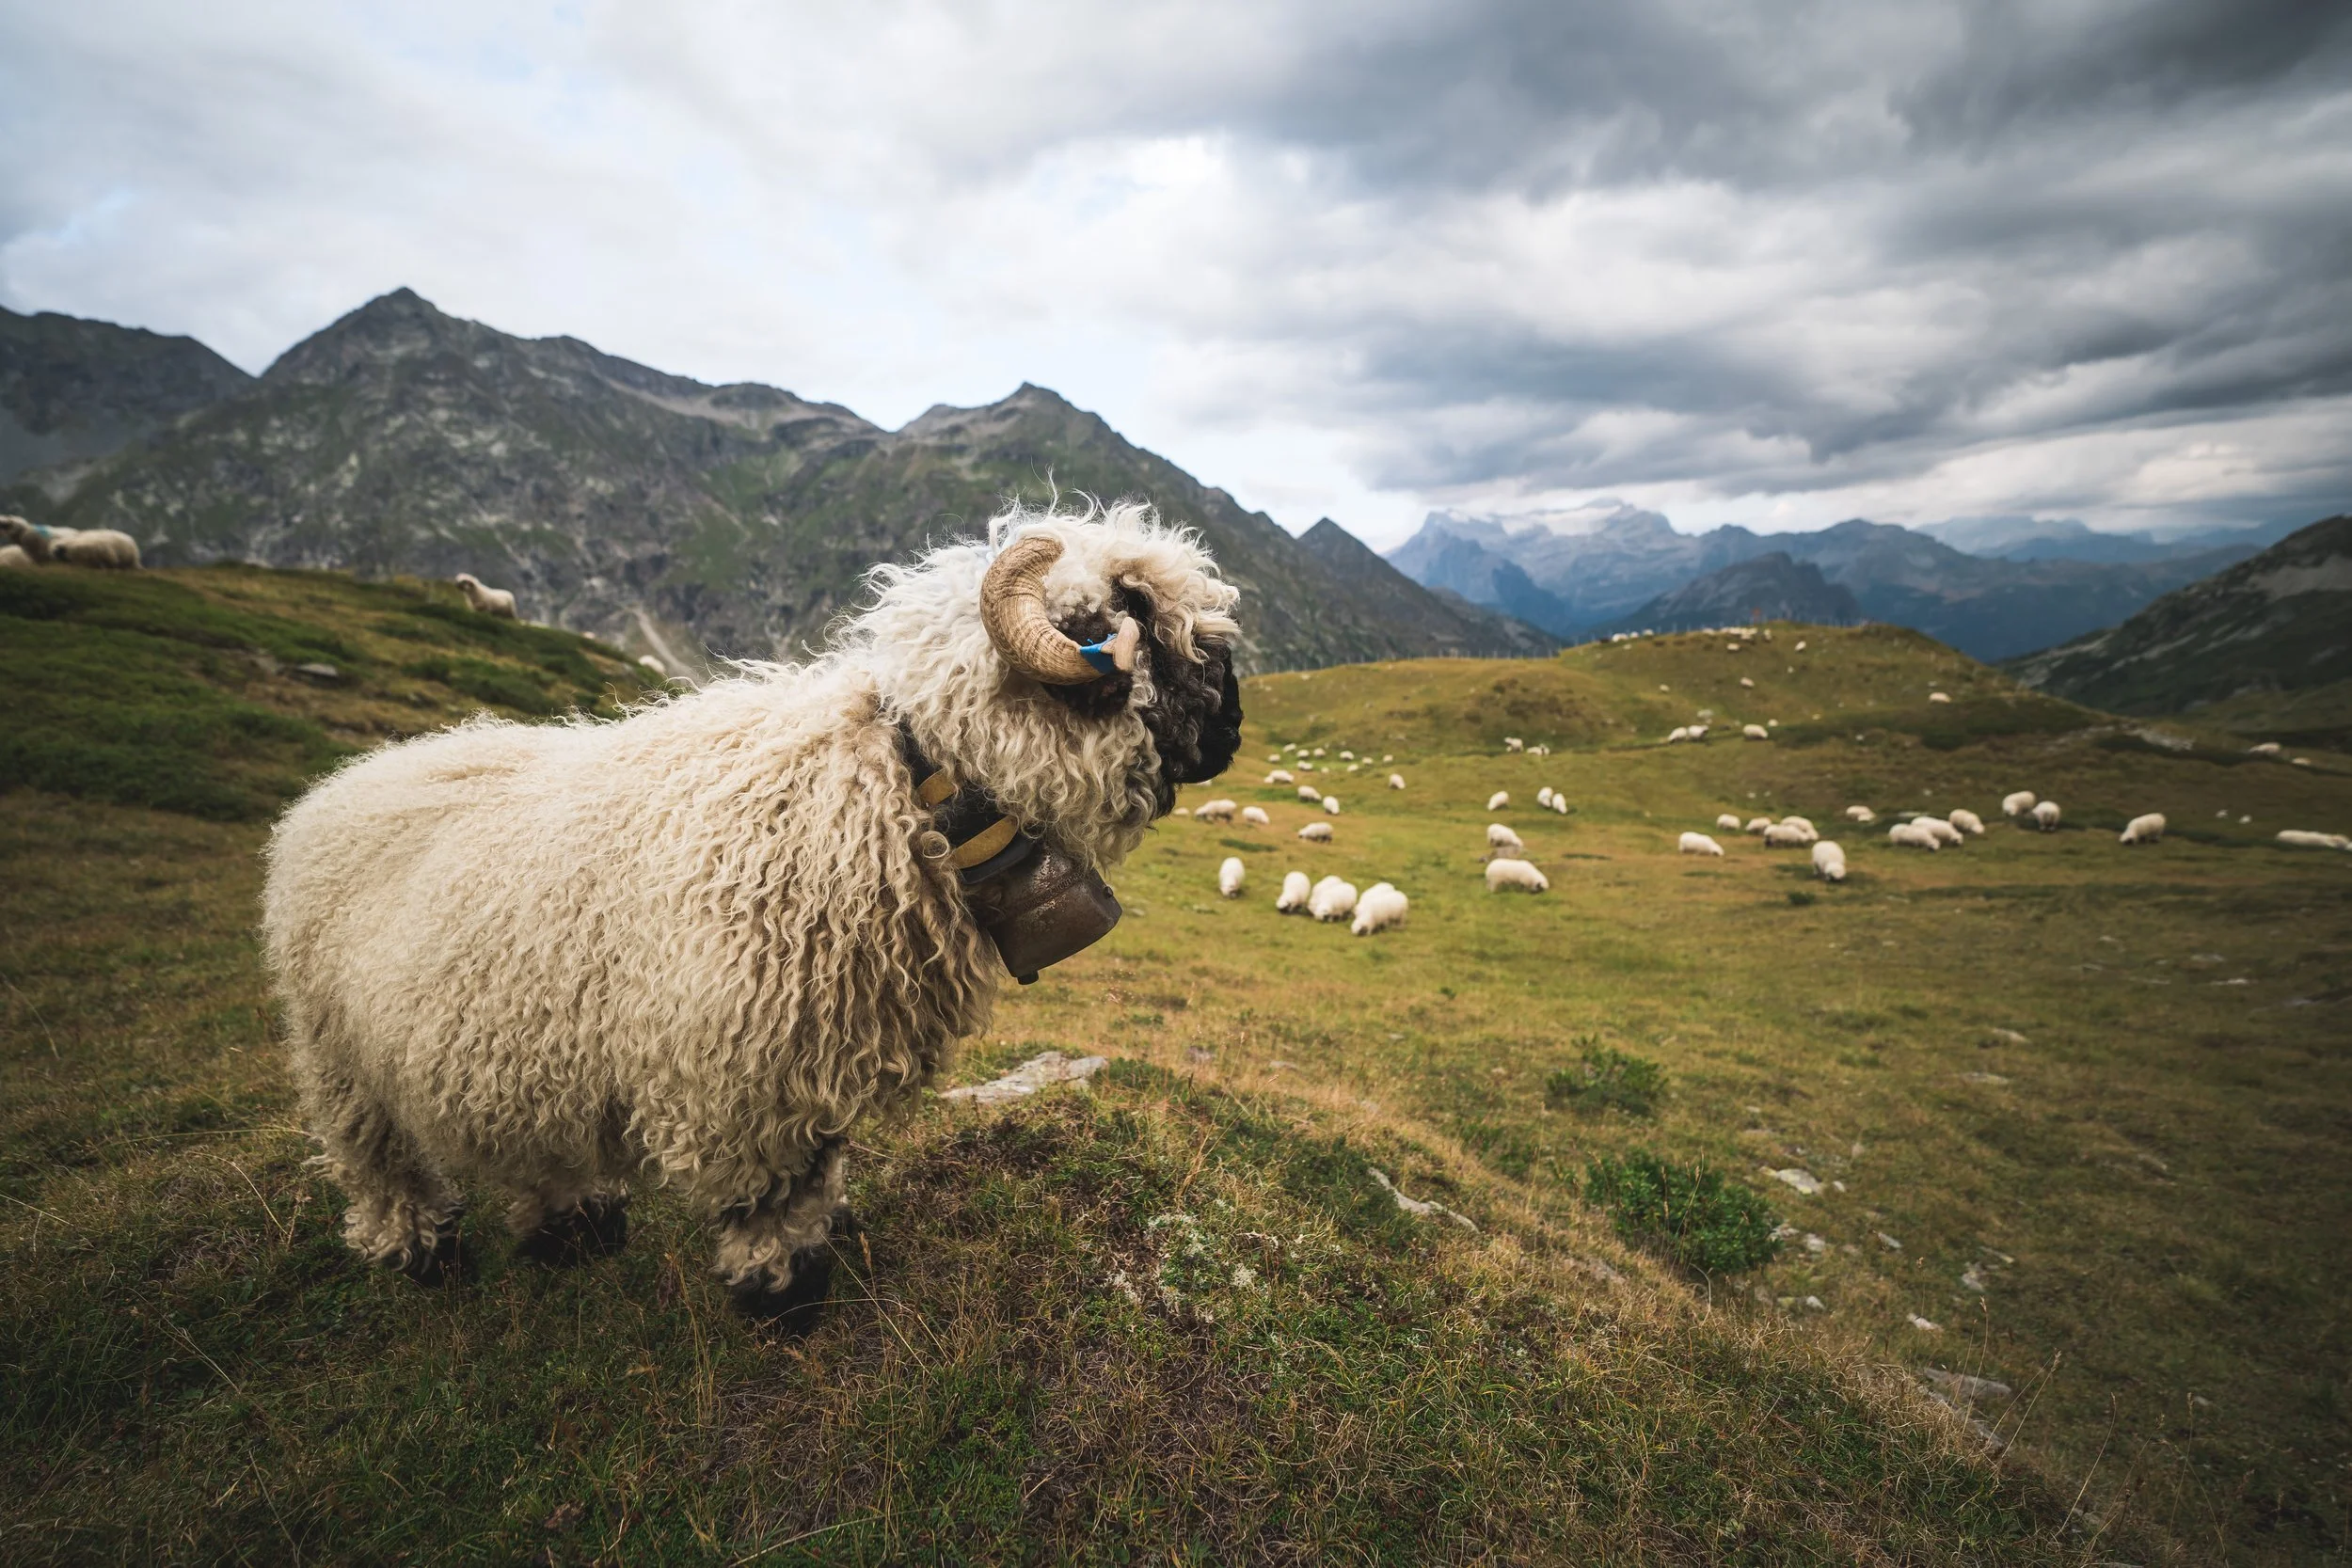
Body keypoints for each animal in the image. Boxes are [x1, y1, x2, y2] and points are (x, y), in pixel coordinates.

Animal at [261, 496, 1245, 1322]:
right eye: (1139, 616)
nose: (1234, 731)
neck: (899, 786)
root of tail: (331, 791)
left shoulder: (820, 1041)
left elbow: (823, 1157)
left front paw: (826, 1234)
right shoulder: (739, 1060)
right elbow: (772, 1187)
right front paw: (782, 1290)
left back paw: (574, 1222)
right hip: (340, 1057)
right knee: (376, 1159)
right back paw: (415, 1247)